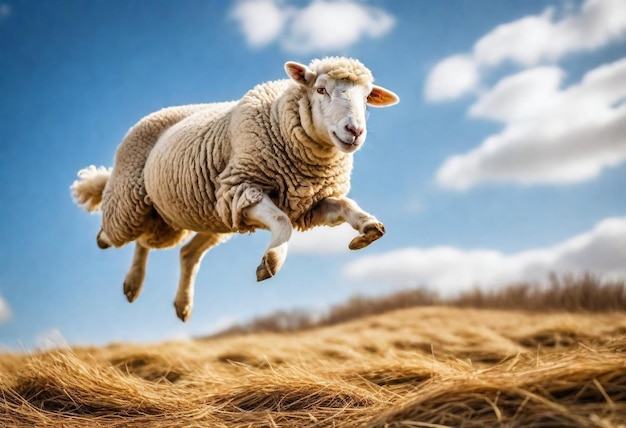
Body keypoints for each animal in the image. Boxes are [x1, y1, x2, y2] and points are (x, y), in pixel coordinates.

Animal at [70, 56, 398, 320]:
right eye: (320, 90)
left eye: (367, 97)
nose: (354, 131)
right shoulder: (241, 187)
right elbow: (280, 220)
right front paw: (271, 261)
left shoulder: (309, 204)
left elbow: (345, 206)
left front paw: (368, 229)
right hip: (131, 199)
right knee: (116, 234)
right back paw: (124, 270)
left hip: (191, 217)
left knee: (172, 249)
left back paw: (171, 301)